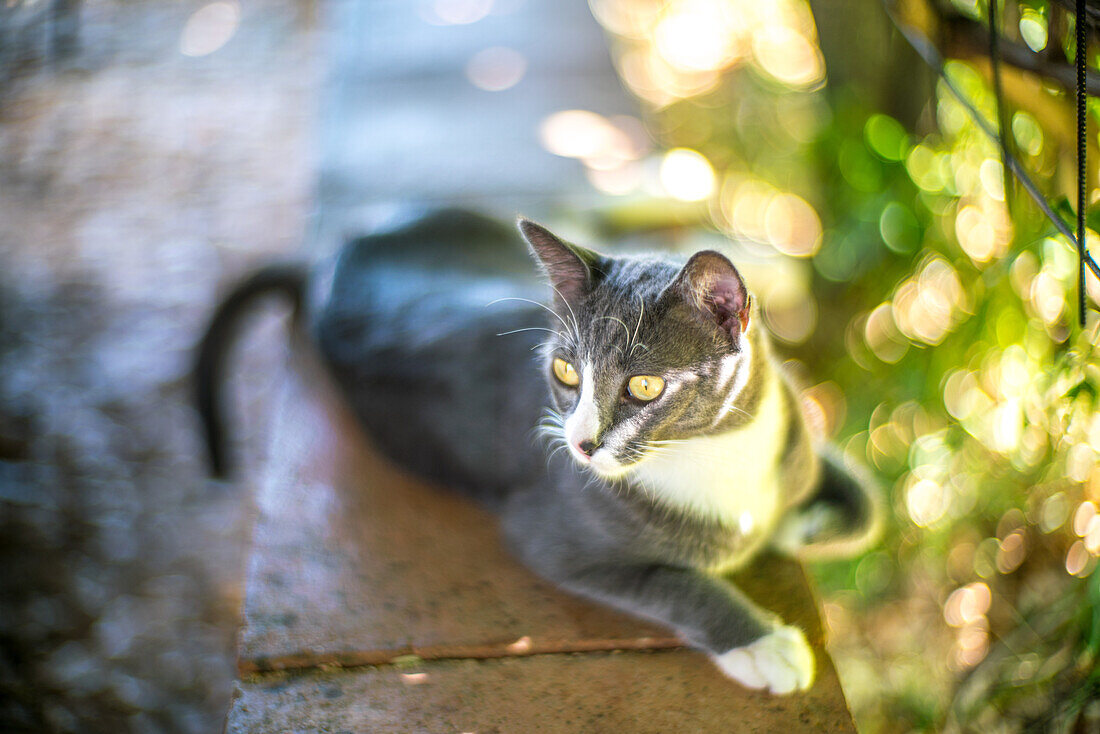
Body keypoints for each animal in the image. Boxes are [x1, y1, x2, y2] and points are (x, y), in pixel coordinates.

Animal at [195, 205, 884, 695]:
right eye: (565, 372)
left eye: (645, 385)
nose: (582, 445)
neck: (710, 453)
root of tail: (339, 250)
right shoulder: (551, 536)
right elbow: (676, 583)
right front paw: (762, 643)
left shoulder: (792, 431)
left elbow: (867, 509)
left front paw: (800, 523)